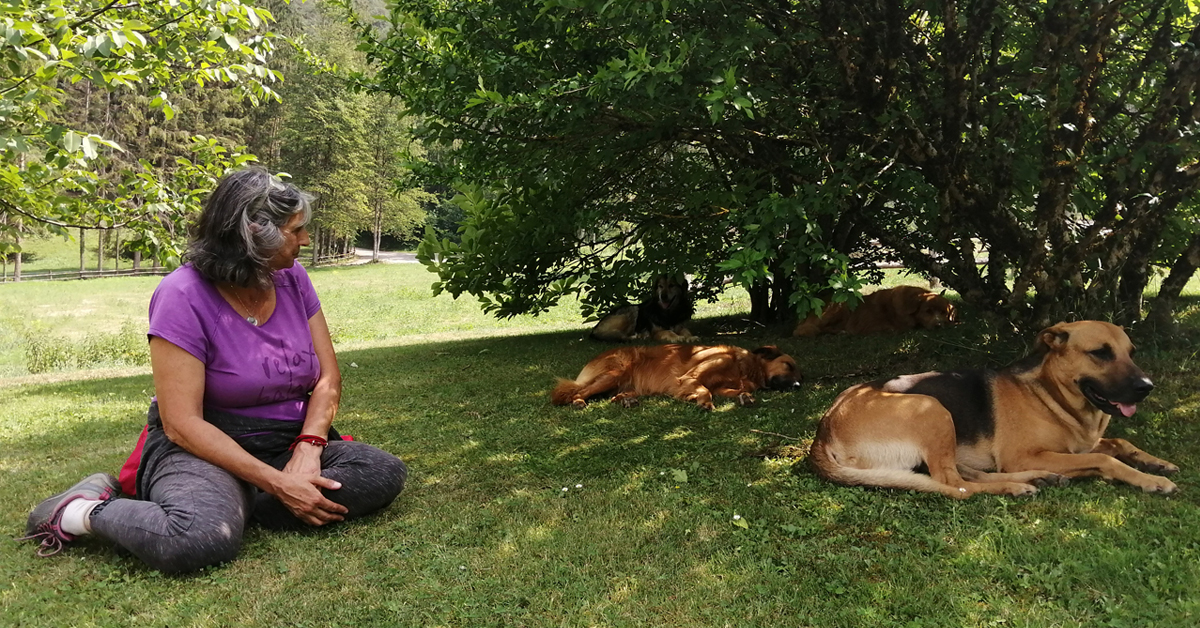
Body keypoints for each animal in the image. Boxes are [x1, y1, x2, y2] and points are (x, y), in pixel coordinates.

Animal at [549, 343, 796, 413]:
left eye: (800, 373)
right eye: (789, 365)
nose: (797, 385)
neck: (743, 367)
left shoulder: (722, 387)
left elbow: (735, 391)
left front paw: (745, 397)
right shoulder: (690, 376)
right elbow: (703, 389)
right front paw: (703, 402)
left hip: (626, 384)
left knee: (613, 397)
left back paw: (627, 401)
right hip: (613, 374)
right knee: (574, 392)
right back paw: (578, 401)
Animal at [811, 321, 1176, 499]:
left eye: (1131, 352)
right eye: (1100, 353)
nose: (1146, 386)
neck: (1051, 395)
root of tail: (824, 430)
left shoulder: (1079, 445)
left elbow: (1120, 444)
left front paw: (1155, 462)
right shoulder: (1022, 455)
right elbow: (1106, 458)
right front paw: (1149, 480)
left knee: (966, 474)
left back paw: (1042, 478)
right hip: (932, 408)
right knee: (954, 485)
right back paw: (1016, 486)